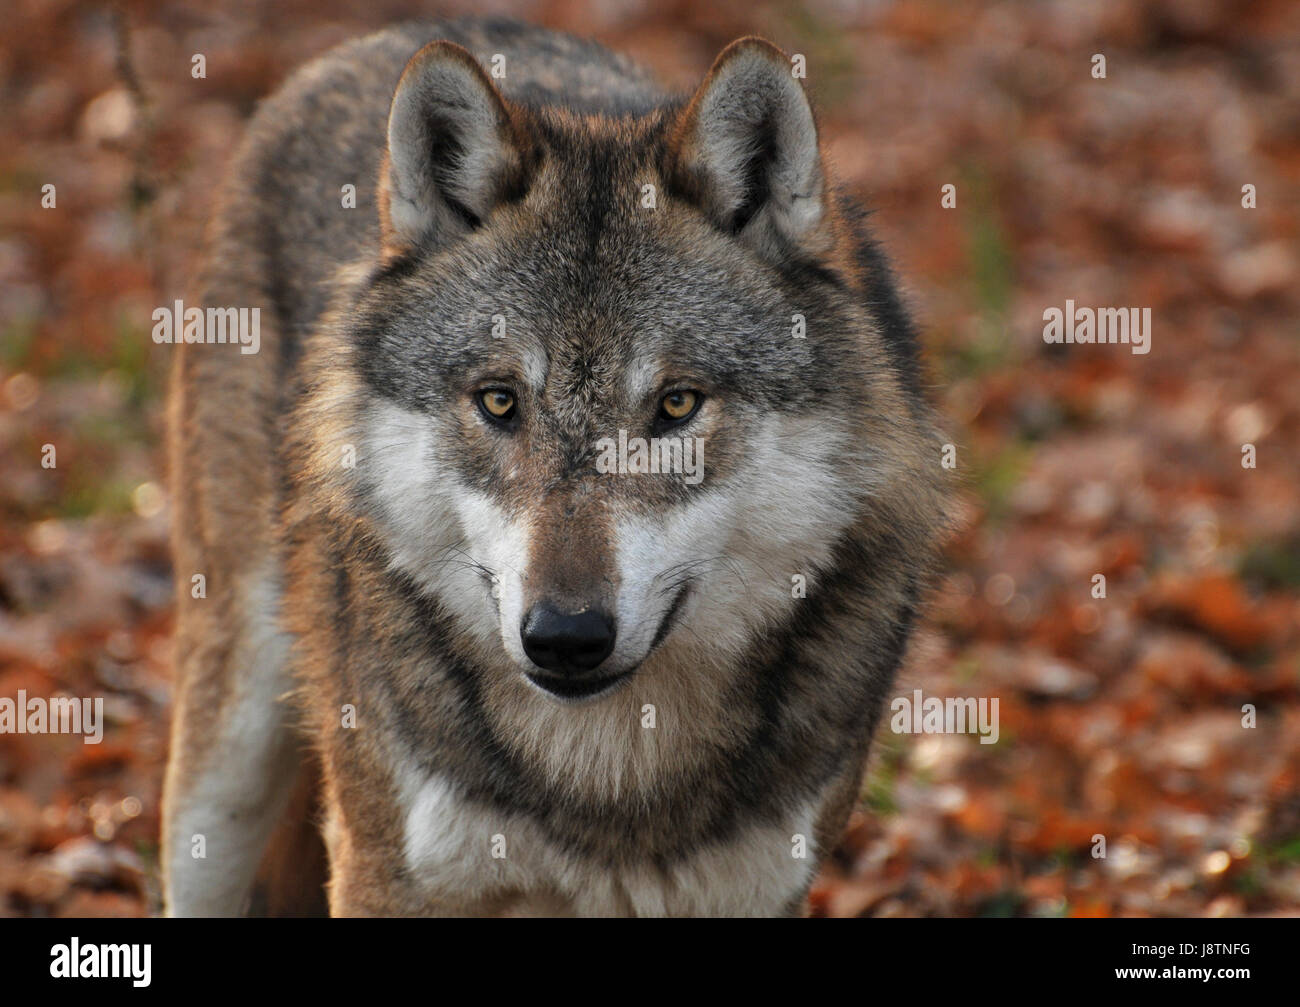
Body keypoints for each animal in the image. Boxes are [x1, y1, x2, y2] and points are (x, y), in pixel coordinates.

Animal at [162, 17, 948, 917]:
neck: (608, 781)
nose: (565, 637)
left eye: (677, 405)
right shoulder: (385, 877)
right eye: (501, 401)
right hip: (223, 770)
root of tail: (389, 32)